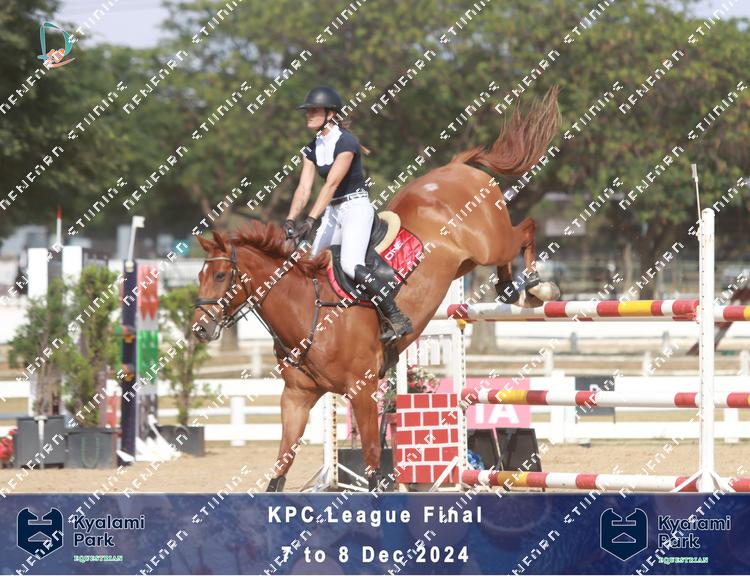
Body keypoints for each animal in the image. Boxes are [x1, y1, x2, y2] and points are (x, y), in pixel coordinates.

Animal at [192, 87, 561, 491]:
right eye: (200, 276)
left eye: (221, 276)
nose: (200, 328)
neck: (308, 312)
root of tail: (457, 168)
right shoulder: (296, 398)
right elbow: (279, 470)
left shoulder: (364, 391)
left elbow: (371, 466)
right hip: (468, 260)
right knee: (508, 254)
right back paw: (512, 290)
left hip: (490, 242)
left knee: (525, 230)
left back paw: (538, 287)